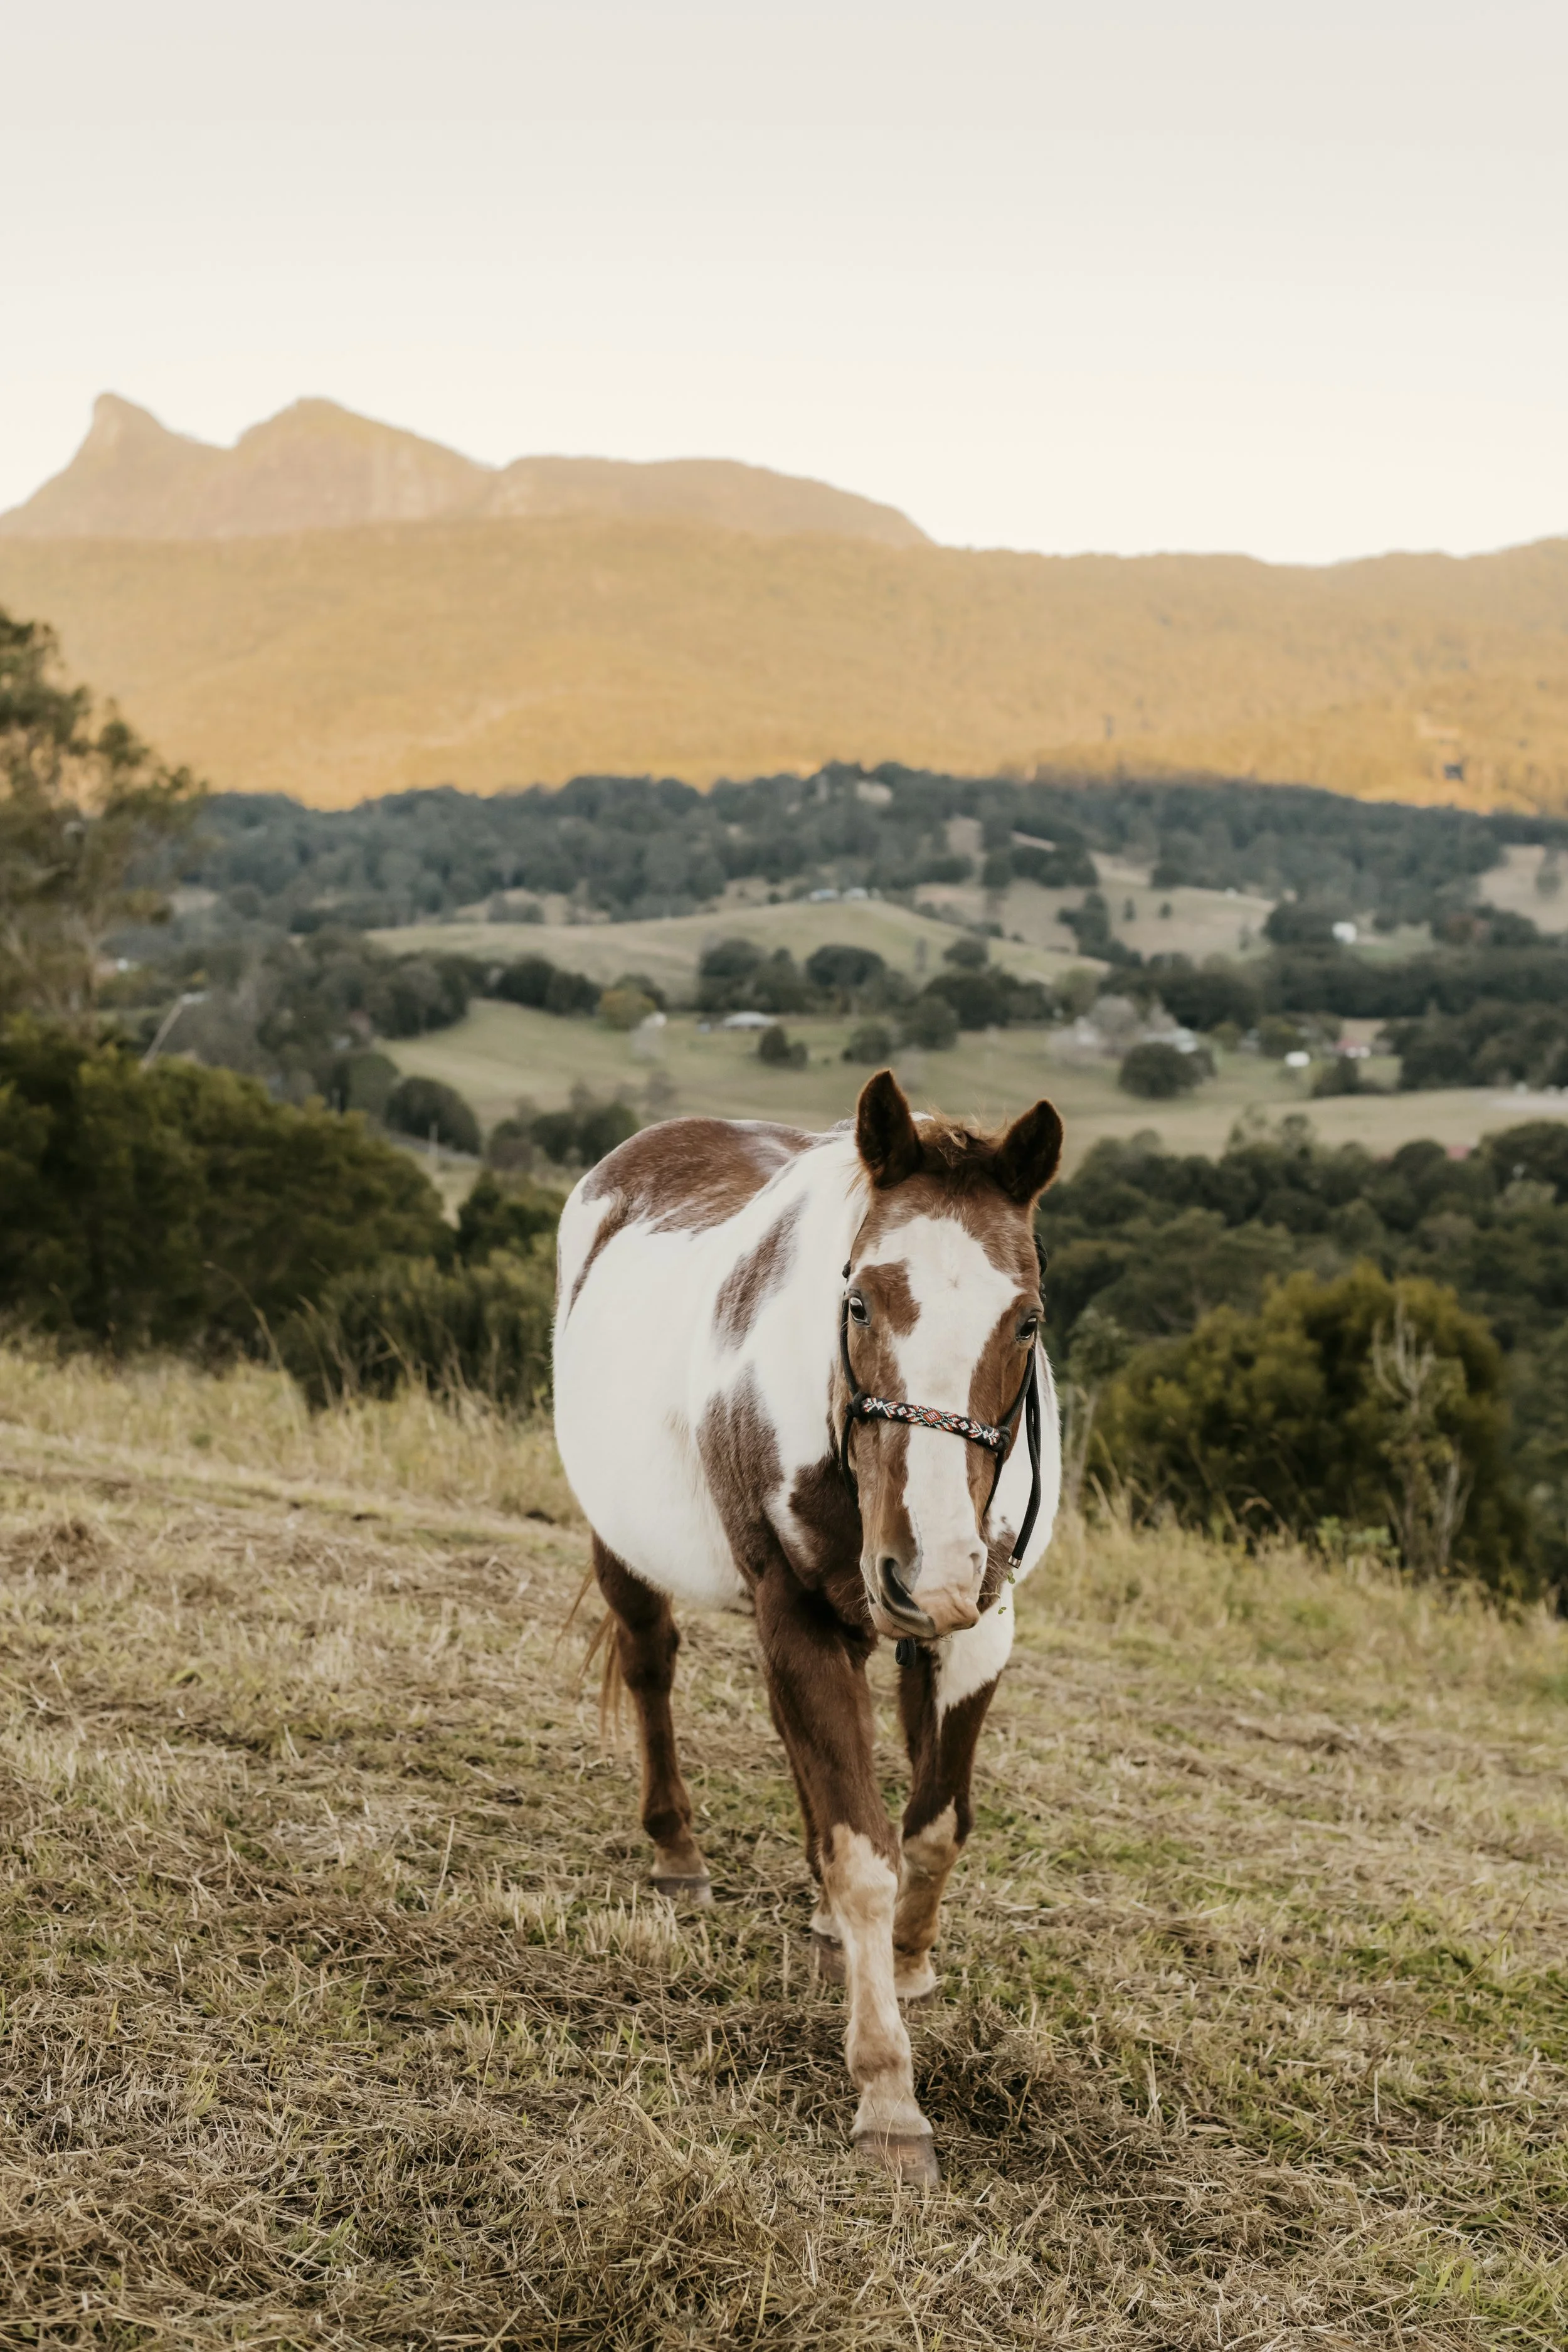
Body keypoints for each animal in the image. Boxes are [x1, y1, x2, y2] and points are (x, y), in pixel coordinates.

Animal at [552, 1068, 1063, 2185]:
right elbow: (864, 1851)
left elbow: (931, 1827)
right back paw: (678, 1851)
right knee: (652, 1668)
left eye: (1026, 1322)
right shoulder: (795, 1612)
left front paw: (906, 1965)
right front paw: (889, 2092)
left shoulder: (979, 1625)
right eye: (861, 1299)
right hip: (629, 1547)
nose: (931, 1567)